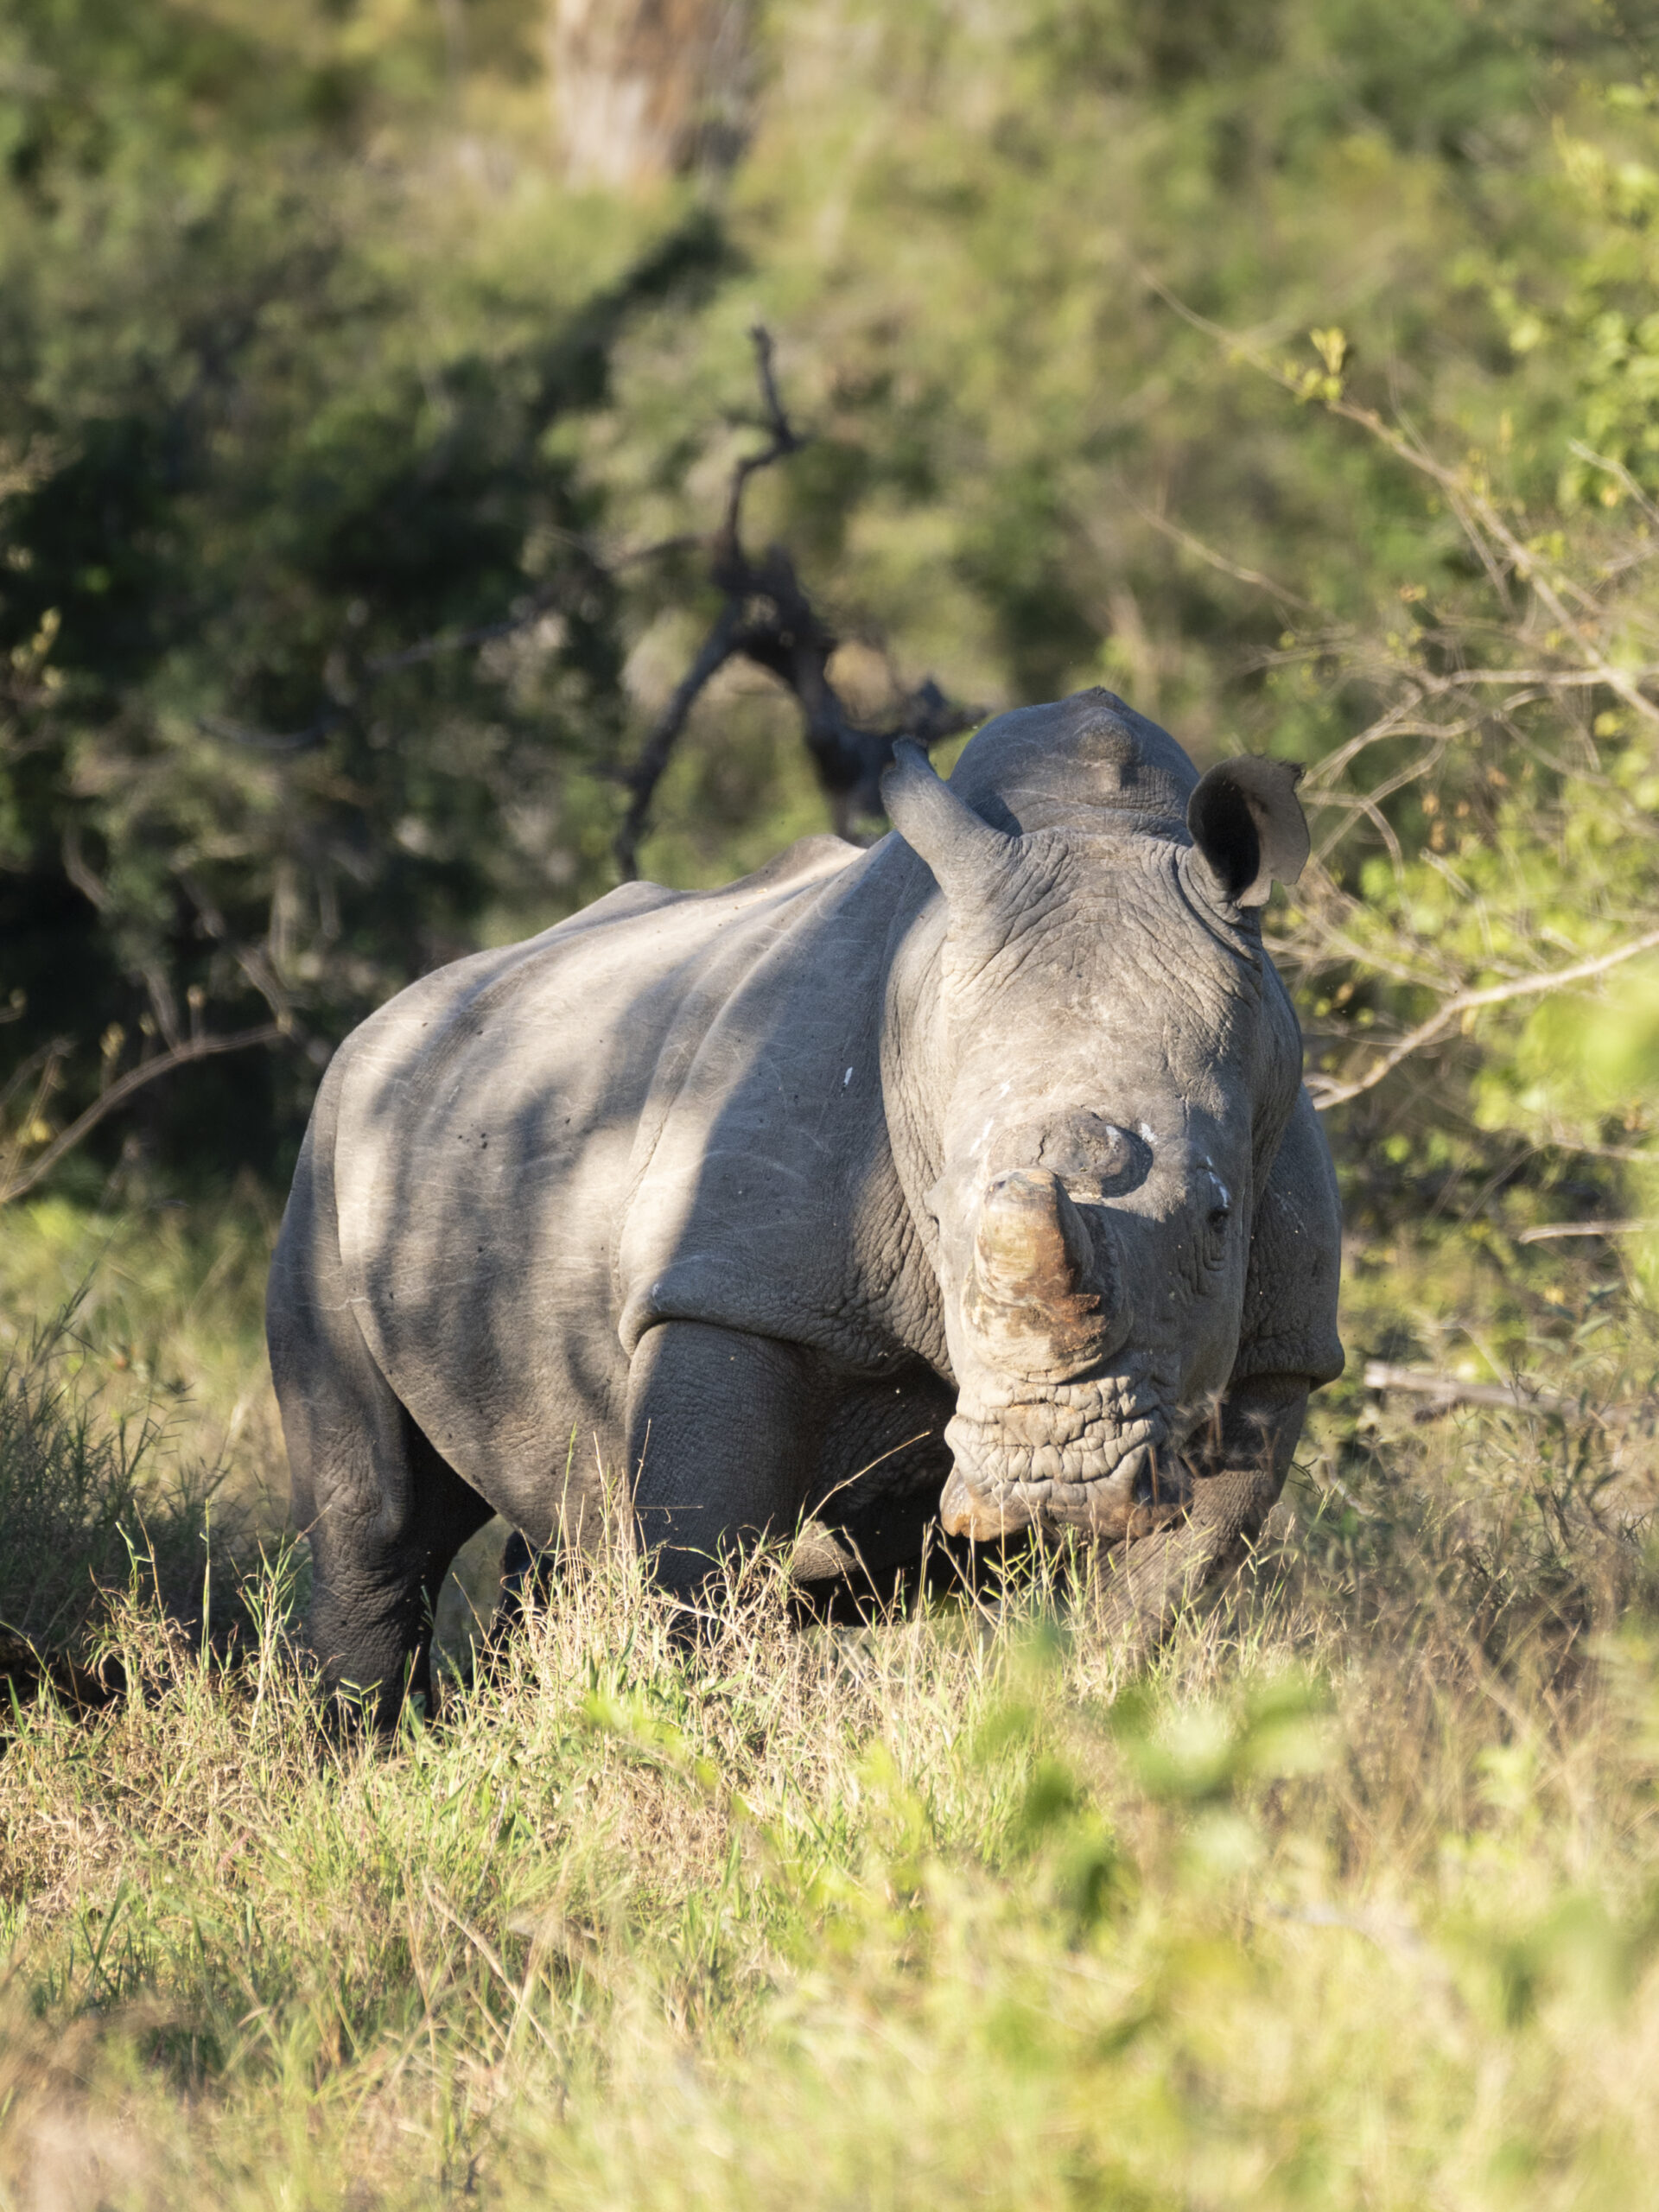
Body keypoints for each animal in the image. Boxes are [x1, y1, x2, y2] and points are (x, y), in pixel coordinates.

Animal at [268, 688, 1342, 1714]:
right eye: (938, 1221)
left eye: (1219, 1219)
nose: (1052, 1483)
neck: (1098, 826)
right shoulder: (730, 1290)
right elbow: (694, 1572)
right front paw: (684, 1743)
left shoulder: (1275, 1353)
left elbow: (1147, 1612)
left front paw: (1092, 1725)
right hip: (334, 1137)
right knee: (384, 1529)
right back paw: (358, 1749)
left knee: (560, 1527)